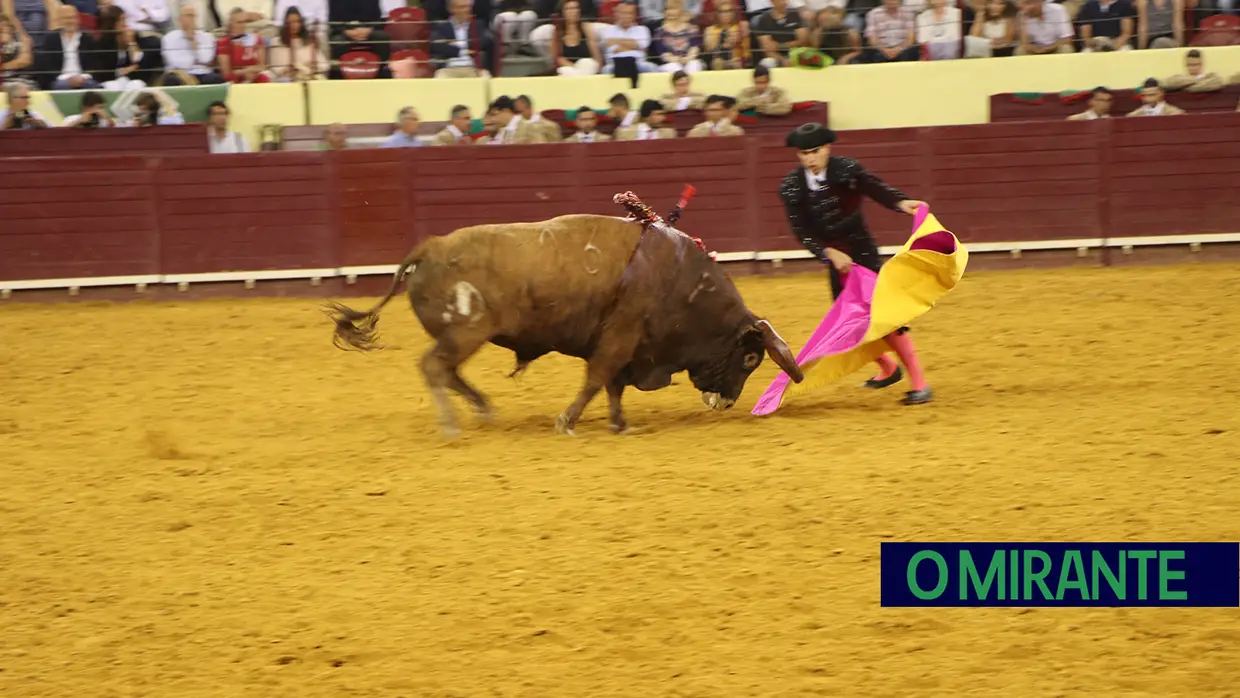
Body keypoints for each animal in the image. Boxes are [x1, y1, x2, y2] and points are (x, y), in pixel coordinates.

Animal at [322, 195, 803, 436]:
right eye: (749, 358)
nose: (728, 402)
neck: (682, 282)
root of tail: (431, 247)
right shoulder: (620, 339)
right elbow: (597, 379)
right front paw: (567, 422)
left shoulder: (624, 346)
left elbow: (612, 386)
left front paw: (619, 423)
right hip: (465, 333)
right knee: (435, 368)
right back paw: (452, 424)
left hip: (463, 337)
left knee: (448, 371)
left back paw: (483, 409)